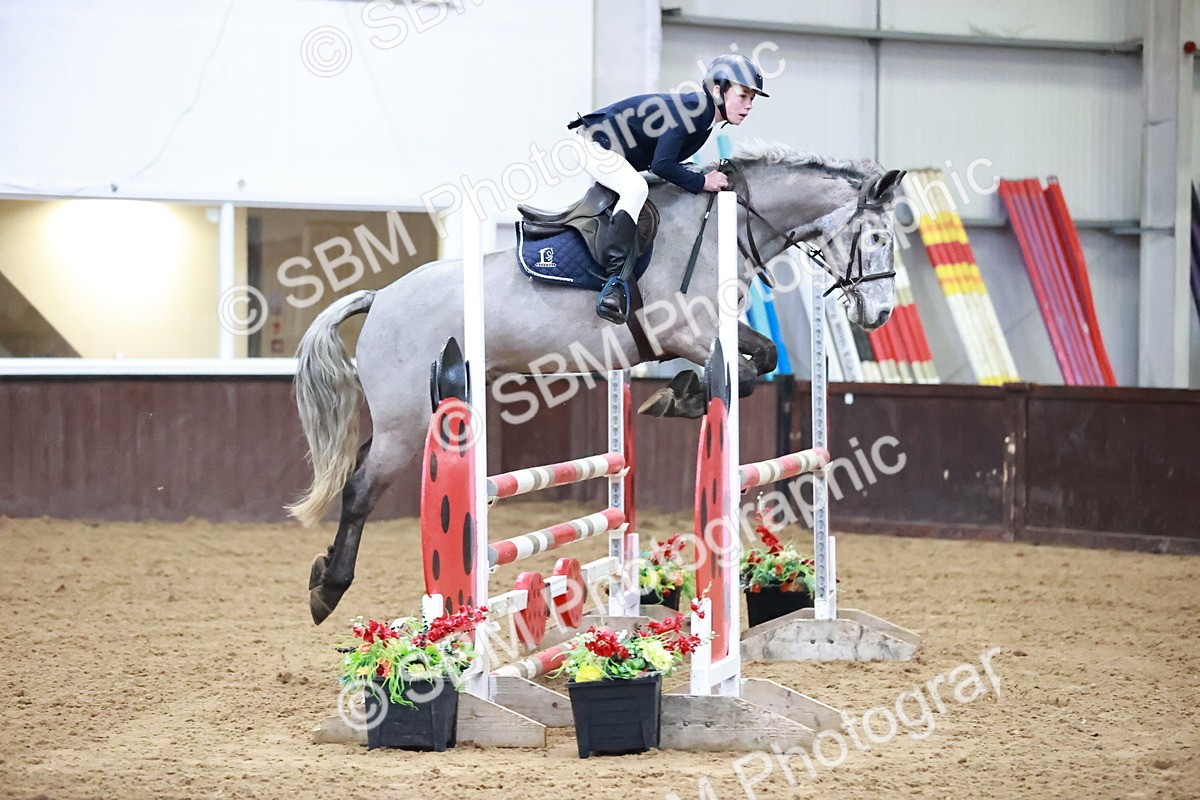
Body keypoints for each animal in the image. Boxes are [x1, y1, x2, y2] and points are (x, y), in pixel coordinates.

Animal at [290, 142, 905, 624]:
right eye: (876, 237)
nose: (878, 315)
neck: (720, 229)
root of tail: (381, 298)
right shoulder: (688, 330)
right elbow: (752, 367)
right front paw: (681, 395)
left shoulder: (709, 333)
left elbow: (764, 358)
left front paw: (677, 396)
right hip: (408, 420)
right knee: (360, 487)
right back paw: (328, 590)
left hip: (411, 414)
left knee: (360, 467)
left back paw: (321, 569)